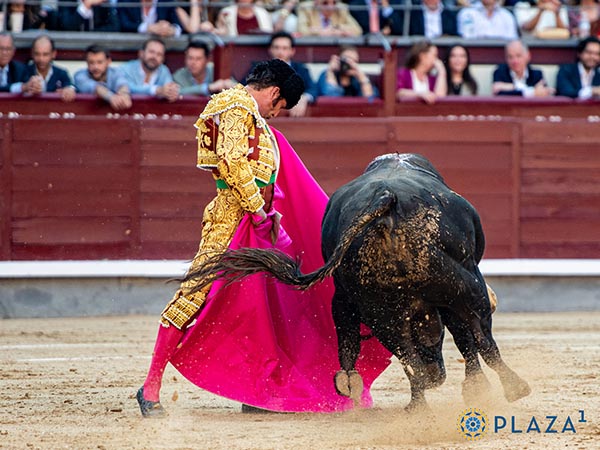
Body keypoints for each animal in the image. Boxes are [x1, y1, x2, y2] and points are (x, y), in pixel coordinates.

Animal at [186, 153, 528, 410]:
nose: (438, 374)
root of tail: (386, 200)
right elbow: (466, 338)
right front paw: (477, 389)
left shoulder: (353, 301)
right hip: (464, 287)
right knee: (481, 338)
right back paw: (514, 387)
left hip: (381, 311)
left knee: (409, 360)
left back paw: (408, 404)